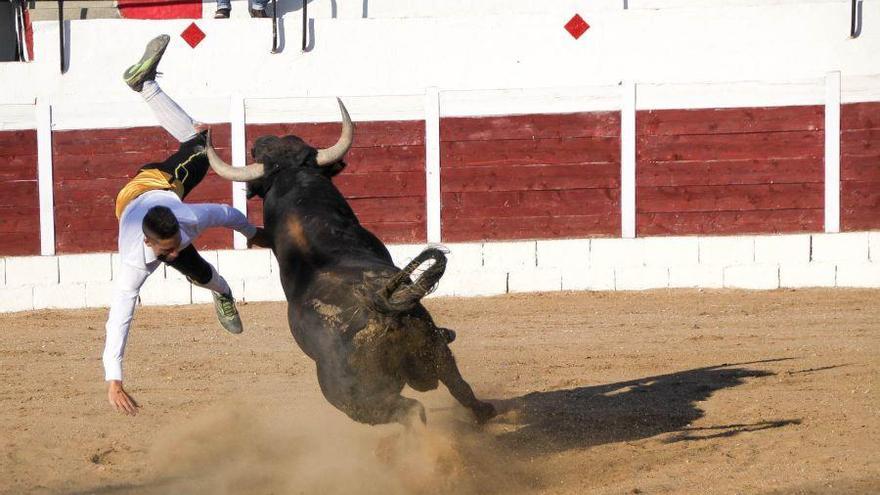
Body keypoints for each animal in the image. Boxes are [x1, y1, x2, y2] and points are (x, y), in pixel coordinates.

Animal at [205, 101, 496, 426]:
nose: (262, 138)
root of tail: (380, 306)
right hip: (433, 347)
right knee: (458, 386)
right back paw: (485, 413)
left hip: (350, 399)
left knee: (409, 410)